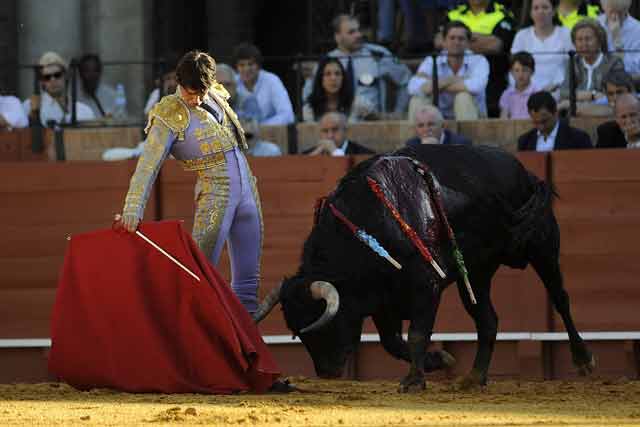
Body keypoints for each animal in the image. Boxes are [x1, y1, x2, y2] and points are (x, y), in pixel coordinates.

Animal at [254, 145, 596, 392]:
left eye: (322, 322)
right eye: (295, 330)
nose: (327, 372)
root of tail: (526, 173)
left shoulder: (426, 286)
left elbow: (417, 334)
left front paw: (414, 381)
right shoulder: (383, 299)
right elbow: (392, 342)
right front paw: (438, 360)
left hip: (543, 247)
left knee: (560, 298)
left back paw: (583, 359)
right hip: (476, 272)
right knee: (487, 319)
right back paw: (474, 378)